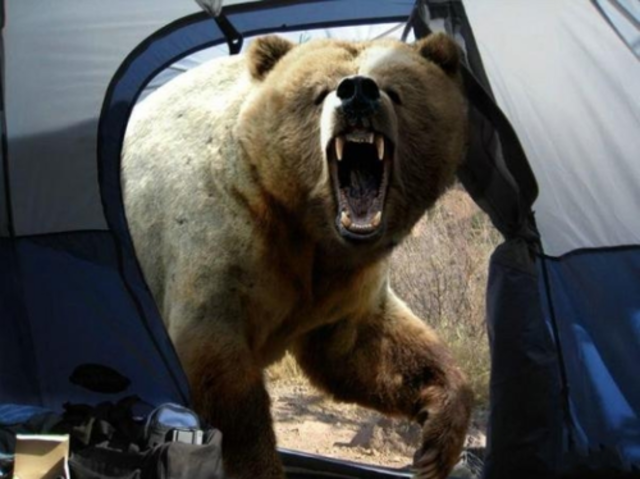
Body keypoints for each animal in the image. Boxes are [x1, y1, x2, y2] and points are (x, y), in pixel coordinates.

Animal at [121, 32, 473, 479]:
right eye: (320, 91)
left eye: (396, 90)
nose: (358, 92)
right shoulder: (219, 248)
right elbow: (222, 381)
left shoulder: (342, 287)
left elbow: (365, 349)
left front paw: (437, 442)